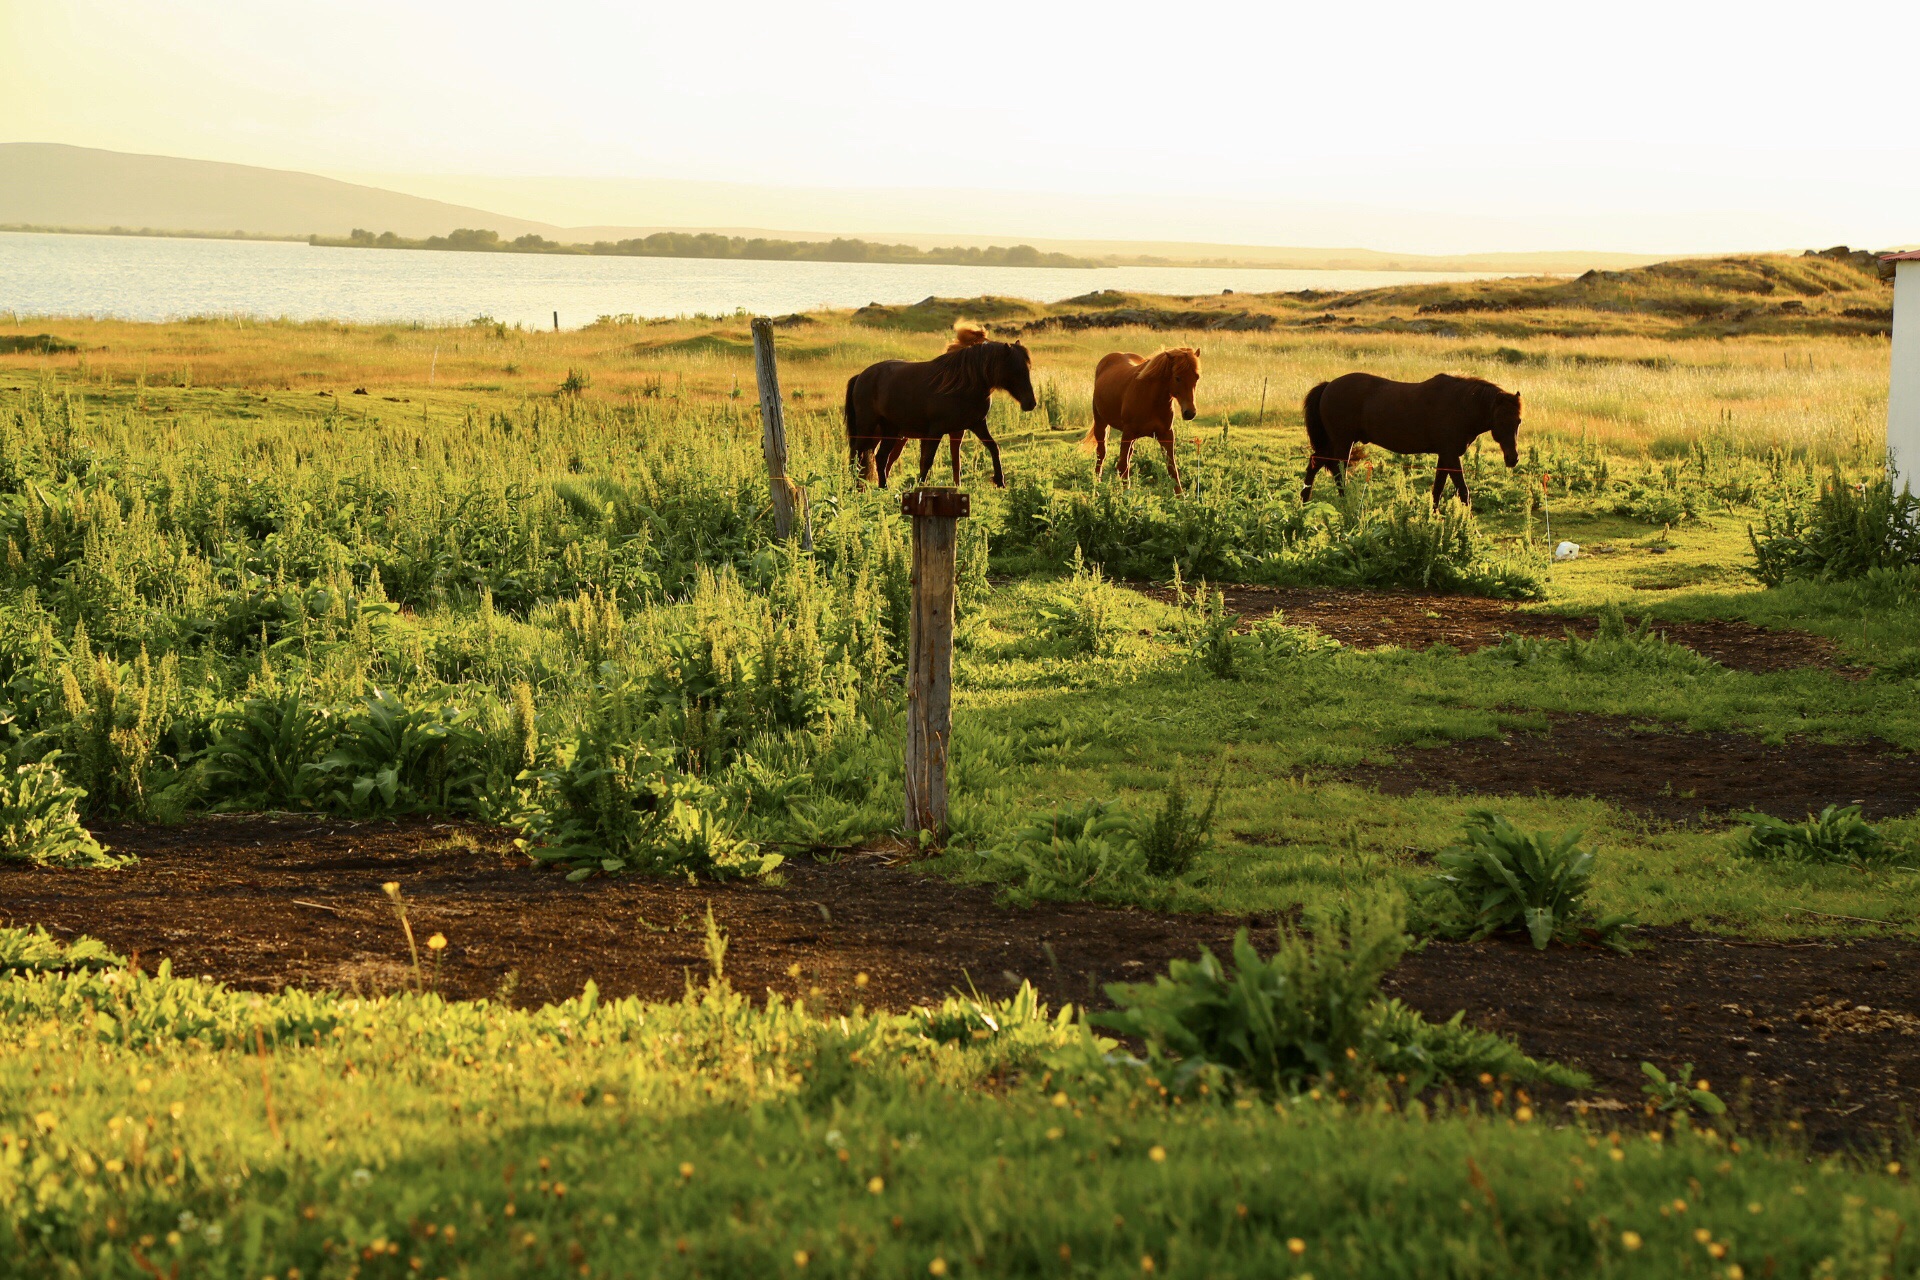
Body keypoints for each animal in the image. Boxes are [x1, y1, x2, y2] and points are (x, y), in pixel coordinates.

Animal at [848, 320, 1044, 485]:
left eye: (1027, 368)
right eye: (1015, 371)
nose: (1030, 403)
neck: (962, 384)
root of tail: (861, 376)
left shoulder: (975, 425)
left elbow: (991, 448)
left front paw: (999, 481)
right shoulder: (936, 431)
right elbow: (927, 460)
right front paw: (921, 487)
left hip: (892, 430)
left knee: (880, 458)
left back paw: (882, 488)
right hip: (868, 427)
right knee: (857, 455)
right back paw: (855, 488)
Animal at [1082, 347, 1198, 495]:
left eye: (1197, 377)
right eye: (1177, 378)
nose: (1190, 413)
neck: (1151, 397)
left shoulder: (1166, 435)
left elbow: (1172, 467)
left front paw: (1180, 496)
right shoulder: (1128, 433)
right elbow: (1122, 466)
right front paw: (1126, 494)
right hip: (1101, 424)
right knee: (1101, 454)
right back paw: (1097, 485)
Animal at [1297, 370, 1520, 506]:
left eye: (1518, 421)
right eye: (1500, 421)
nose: (1512, 458)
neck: (1460, 405)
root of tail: (1328, 385)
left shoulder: (1445, 455)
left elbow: (1438, 488)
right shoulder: (1451, 455)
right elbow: (1462, 490)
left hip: (1335, 442)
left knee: (1316, 463)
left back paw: (1305, 501)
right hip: (1342, 442)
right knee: (1338, 471)